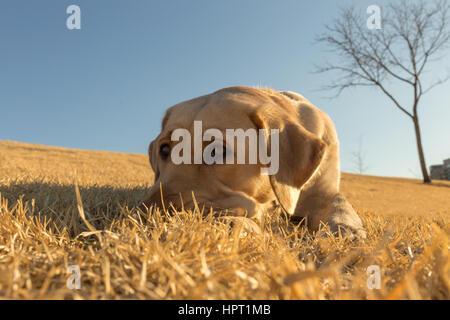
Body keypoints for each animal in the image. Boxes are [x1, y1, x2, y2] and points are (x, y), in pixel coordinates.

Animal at [142, 86, 368, 239]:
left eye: (217, 151)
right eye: (164, 149)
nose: (147, 213)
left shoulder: (325, 191)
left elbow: (341, 207)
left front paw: (348, 230)